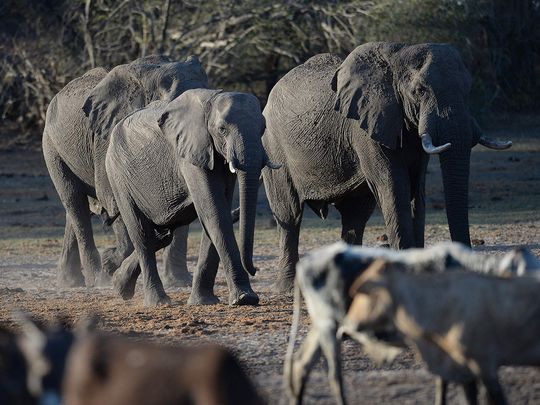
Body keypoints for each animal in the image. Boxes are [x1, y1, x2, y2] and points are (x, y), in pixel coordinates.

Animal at [41, 55, 207, 288]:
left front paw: (179, 282)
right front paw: (110, 262)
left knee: (75, 209)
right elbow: (112, 198)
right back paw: (97, 279)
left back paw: (71, 282)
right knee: (74, 202)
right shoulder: (107, 138)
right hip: (51, 146)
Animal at [104, 87, 278, 304]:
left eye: (263, 128)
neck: (212, 100)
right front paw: (245, 298)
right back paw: (158, 301)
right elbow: (215, 213)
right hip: (118, 176)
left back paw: (119, 286)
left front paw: (204, 302)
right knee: (142, 234)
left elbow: (216, 212)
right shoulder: (191, 153)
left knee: (163, 234)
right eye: (222, 130)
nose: (255, 270)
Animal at [264, 42, 512, 292]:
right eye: (420, 91)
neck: (397, 58)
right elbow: (394, 186)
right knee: (290, 214)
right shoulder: (365, 127)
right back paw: (288, 287)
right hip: (273, 147)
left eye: (468, 90)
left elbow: (416, 190)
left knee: (355, 216)